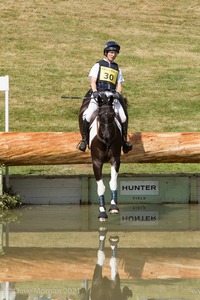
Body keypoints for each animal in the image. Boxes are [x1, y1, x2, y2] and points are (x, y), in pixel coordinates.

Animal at [78, 89, 128, 220]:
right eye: (100, 115)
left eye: (112, 115)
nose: (106, 136)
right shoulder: (97, 162)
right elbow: (101, 186)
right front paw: (102, 211)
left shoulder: (115, 160)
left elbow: (113, 182)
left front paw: (114, 206)